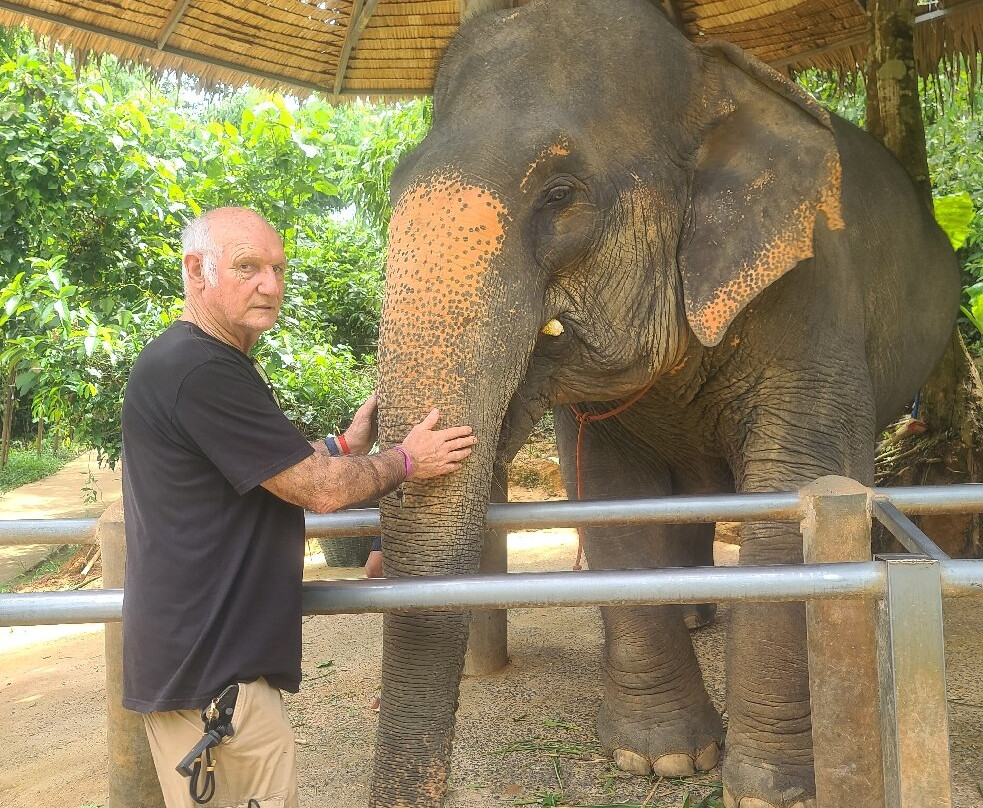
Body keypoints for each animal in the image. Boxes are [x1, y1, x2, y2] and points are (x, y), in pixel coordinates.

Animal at [370, 0, 960, 806]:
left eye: (560, 193)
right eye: (396, 180)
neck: (708, 73)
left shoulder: (813, 291)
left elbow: (793, 489)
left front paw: (769, 788)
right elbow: (610, 493)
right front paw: (660, 760)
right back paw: (691, 612)